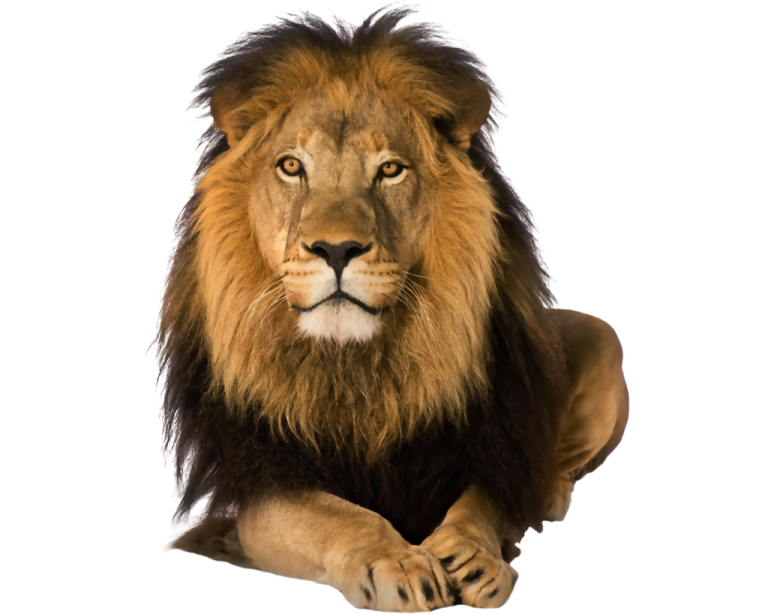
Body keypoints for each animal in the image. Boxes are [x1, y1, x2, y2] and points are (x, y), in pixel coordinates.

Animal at [150, 4, 630, 612]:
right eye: (291, 166)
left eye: (390, 169)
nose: (336, 249)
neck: (359, 368)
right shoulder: (257, 483)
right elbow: (336, 516)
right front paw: (397, 561)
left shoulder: (491, 447)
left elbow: (481, 504)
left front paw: (473, 556)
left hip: (599, 337)